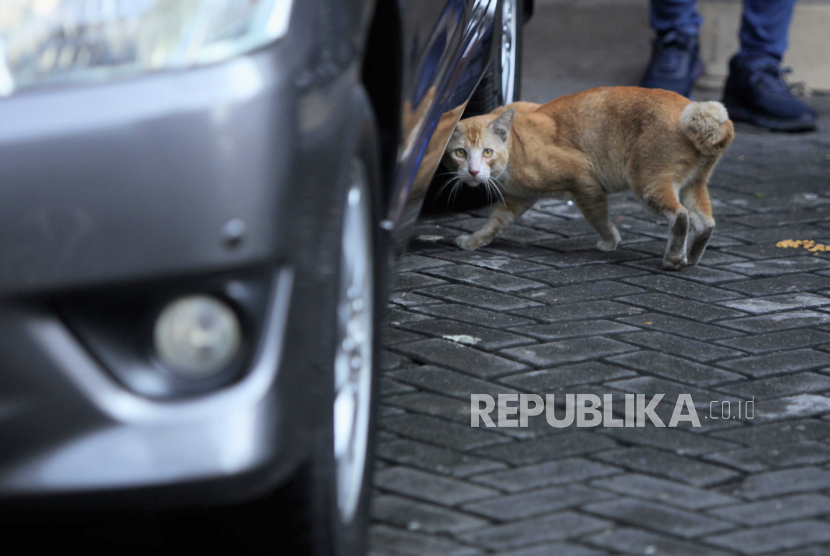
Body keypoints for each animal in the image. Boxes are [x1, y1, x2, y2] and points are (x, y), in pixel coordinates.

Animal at [442, 87, 736, 270]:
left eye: (487, 152)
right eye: (460, 153)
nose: (473, 172)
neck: (515, 143)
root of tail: (695, 107)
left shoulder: (584, 181)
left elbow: (599, 219)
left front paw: (610, 243)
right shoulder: (517, 198)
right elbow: (494, 222)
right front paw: (474, 241)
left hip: (648, 183)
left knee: (680, 215)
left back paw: (673, 259)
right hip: (693, 184)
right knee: (705, 222)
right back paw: (691, 258)